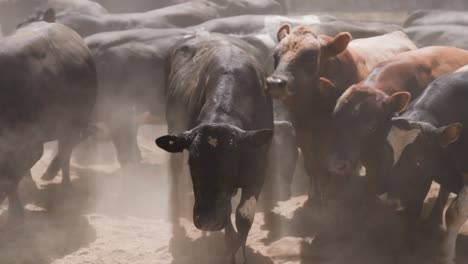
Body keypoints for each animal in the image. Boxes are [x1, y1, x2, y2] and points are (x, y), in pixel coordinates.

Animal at [0, 22, 97, 221]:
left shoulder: (30, 145)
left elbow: (11, 175)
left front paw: (15, 213)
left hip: (75, 123)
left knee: (66, 153)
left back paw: (65, 186)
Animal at [157, 32, 274, 262]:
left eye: (230, 164)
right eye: (192, 164)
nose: (207, 220)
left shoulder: (259, 167)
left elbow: (243, 215)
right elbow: (228, 218)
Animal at [266, 24, 414, 205]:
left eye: (311, 57)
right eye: (275, 55)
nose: (275, 83)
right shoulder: (304, 138)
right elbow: (313, 170)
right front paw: (314, 197)